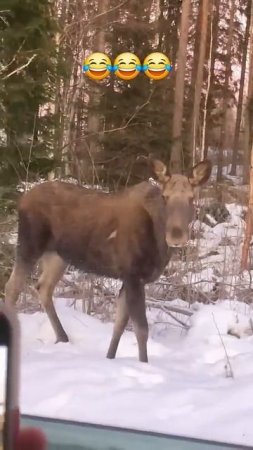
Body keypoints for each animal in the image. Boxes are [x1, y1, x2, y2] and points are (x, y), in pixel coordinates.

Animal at [4, 158, 211, 362]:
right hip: (29, 244)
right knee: (12, 287)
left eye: (192, 198)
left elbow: (119, 324)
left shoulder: (131, 278)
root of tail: (22, 200)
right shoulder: (133, 274)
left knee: (43, 287)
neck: (158, 241)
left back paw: (62, 337)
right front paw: (143, 363)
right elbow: (141, 329)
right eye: (165, 197)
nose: (176, 236)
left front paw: (109, 357)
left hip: (57, 255)